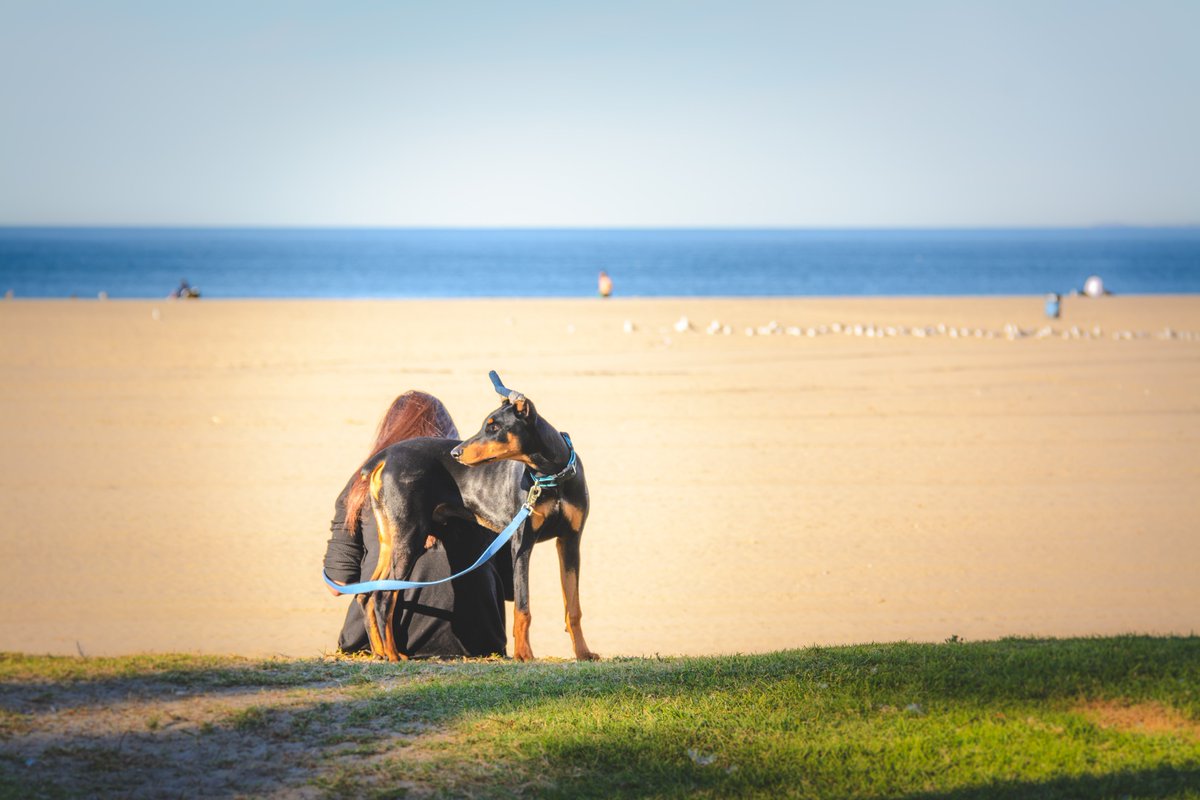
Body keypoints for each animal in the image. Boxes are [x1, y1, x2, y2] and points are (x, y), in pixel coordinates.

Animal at [357, 376, 597, 662]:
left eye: (494, 427)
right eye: (486, 424)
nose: (456, 453)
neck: (551, 476)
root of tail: (386, 456)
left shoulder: (570, 541)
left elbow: (574, 607)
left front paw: (583, 652)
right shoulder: (521, 544)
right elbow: (522, 607)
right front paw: (524, 654)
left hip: (391, 538)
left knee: (369, 594)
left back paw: (381, 653)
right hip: (410, 534)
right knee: (384, 596)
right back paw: (393, 655)